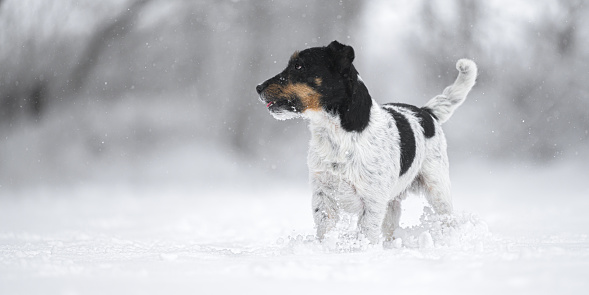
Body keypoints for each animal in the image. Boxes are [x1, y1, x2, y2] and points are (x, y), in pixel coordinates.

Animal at [255, 41, 476, 245]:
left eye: (299, 66)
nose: (258, 87)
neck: (338, 136)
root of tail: (427, 112)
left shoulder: (372, 200)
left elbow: (366, 233)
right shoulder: (323, 195)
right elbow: (325, 229)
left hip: (437, 188)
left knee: (447, 217)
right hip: (392, 203)